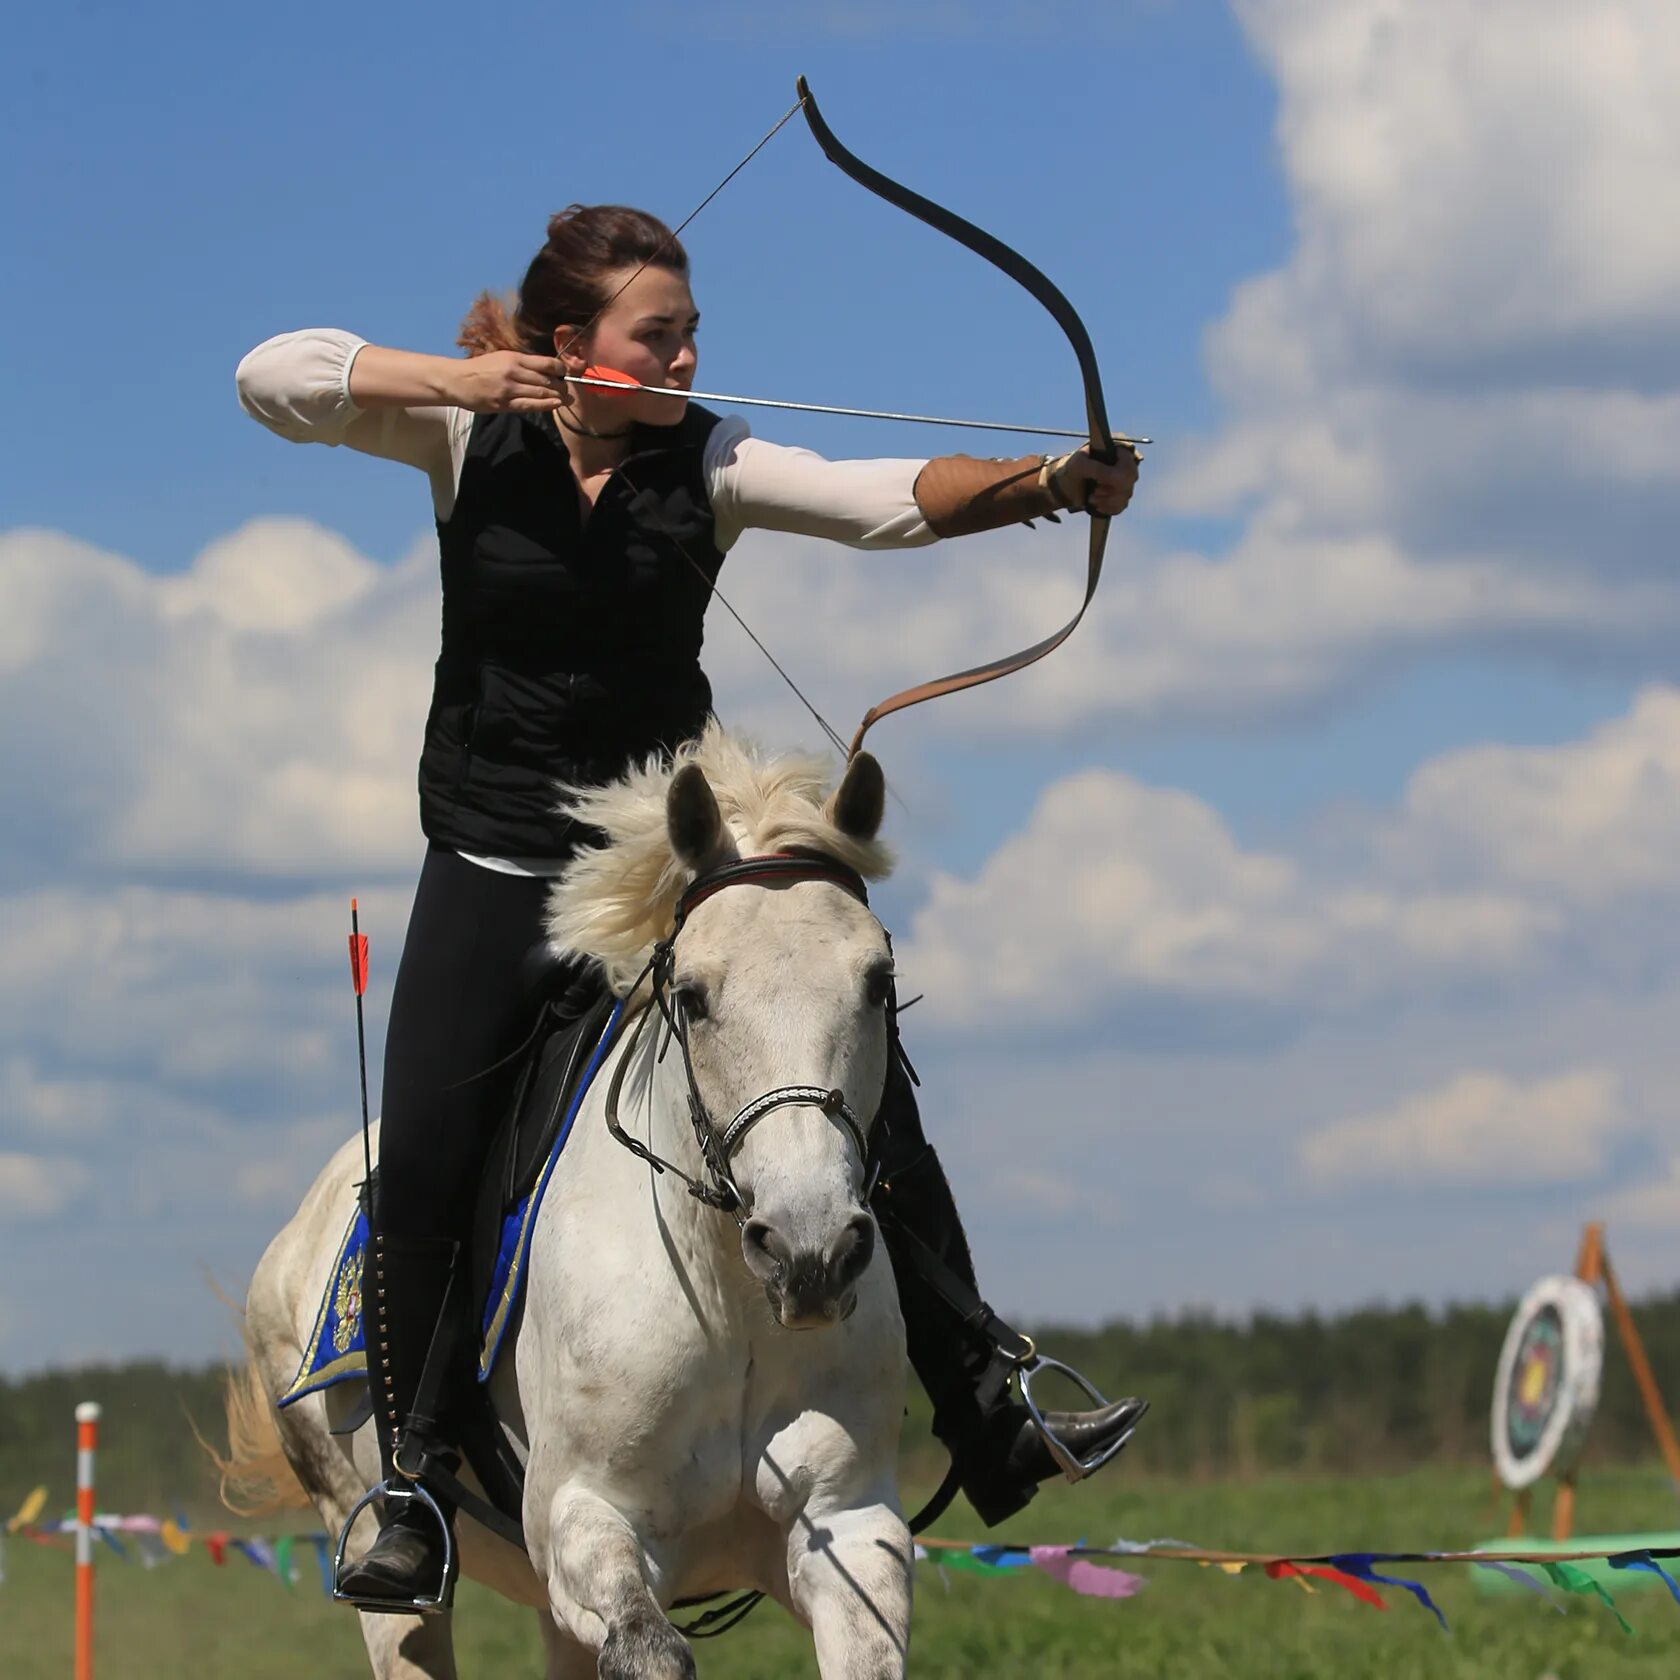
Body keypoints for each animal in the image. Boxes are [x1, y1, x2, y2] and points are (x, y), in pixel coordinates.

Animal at [220, 732, 920, 1680]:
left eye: (878, 983)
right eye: (694, 996)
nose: (809, 1252)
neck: (725, 1297)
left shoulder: (848, 1528)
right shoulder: (584, 1519)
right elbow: (652, 1651)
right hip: (375, 1556)